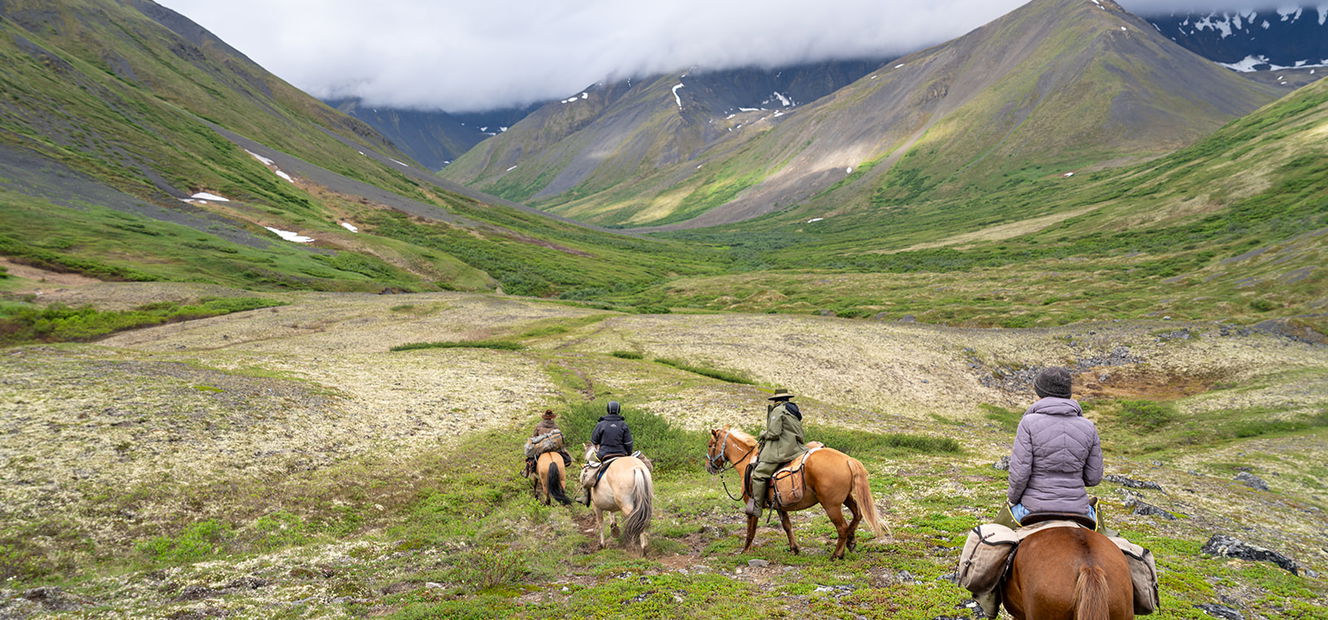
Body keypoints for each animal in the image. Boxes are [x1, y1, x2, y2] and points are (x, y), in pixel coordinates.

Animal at [705, 427, 886, 559]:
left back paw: (837, 555)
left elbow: (751, 529)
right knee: (857, 515)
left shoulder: (752, 504)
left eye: (710, 444)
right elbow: (787, 526)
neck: (748, 462)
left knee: (842, 527)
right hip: (846, 497)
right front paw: (794, 548)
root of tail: (848, 459)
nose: (709, 467)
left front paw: (745, 550)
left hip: (831, 505)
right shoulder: (780, 506)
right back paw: (851, 542)